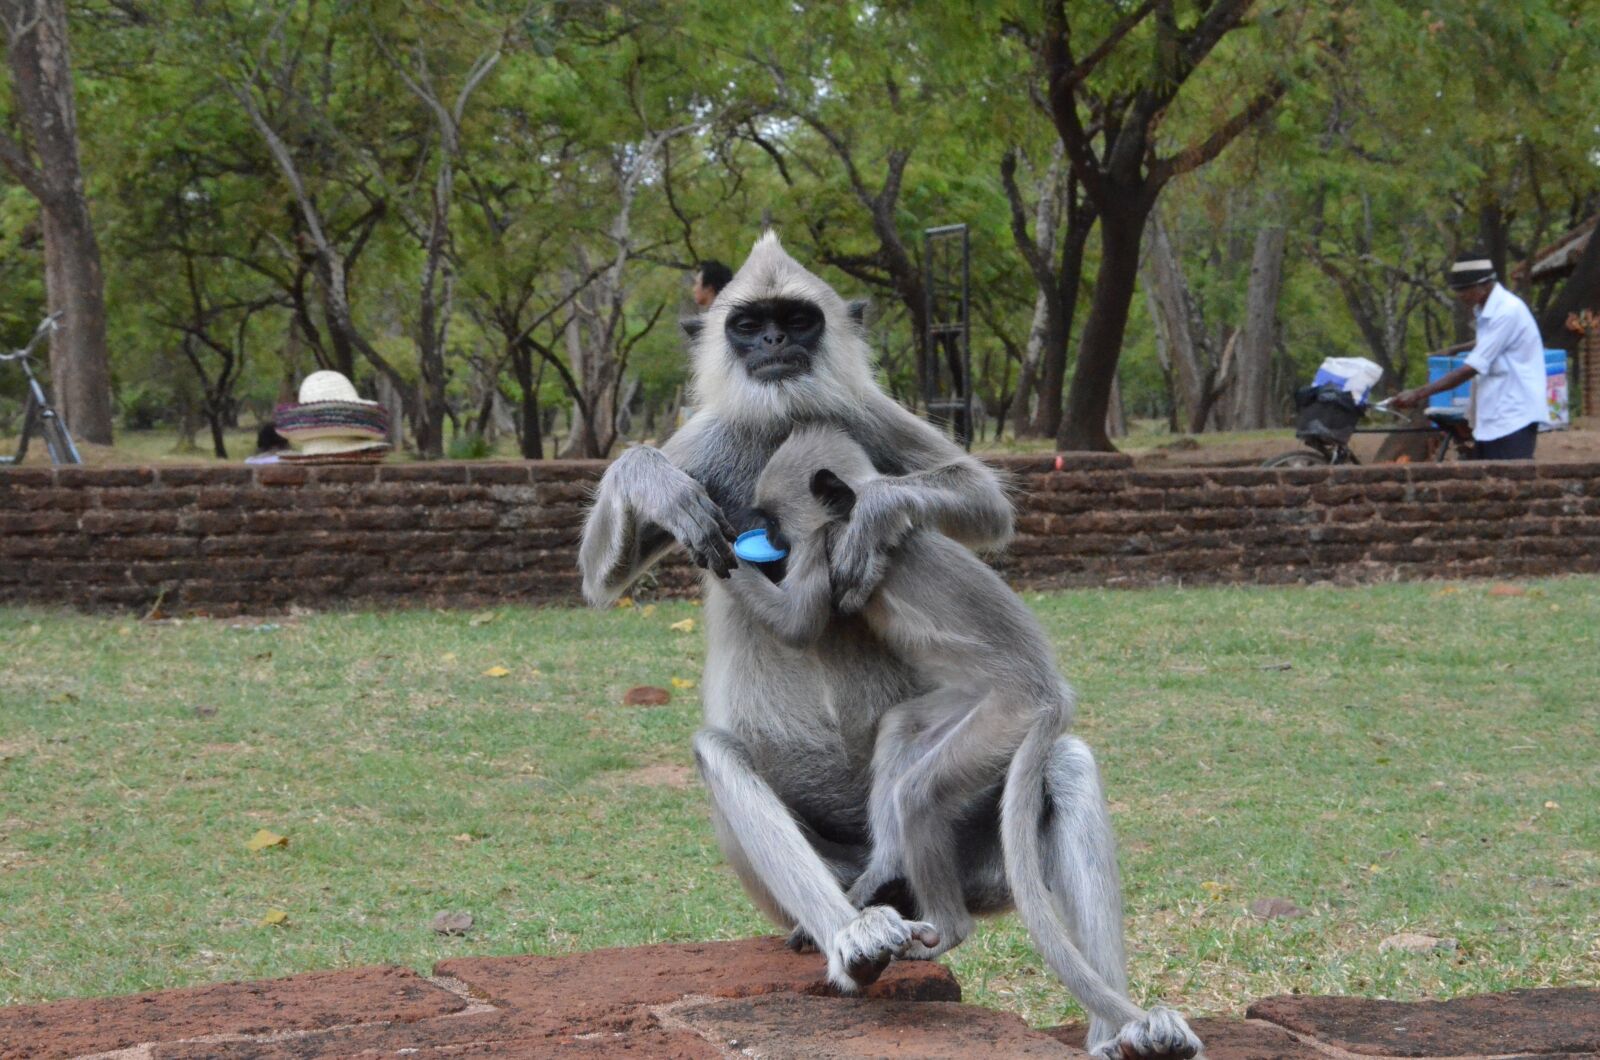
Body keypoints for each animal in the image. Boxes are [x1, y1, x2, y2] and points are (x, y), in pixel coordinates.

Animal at [718, 425, 1201, 1059]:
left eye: (775, 523)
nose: (764, 540)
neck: (850, 512)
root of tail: (1051, 689)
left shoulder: (826, 545)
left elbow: (798, 624)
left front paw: (717, 554)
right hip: (969, 704)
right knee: (901, 728)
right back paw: (886, 866)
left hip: (1004, 715)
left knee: (921, 793)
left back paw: (947, 927)